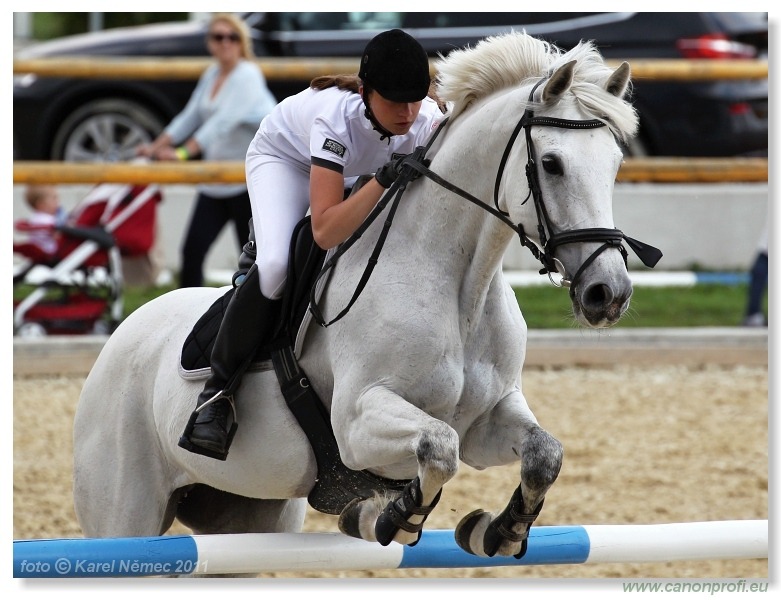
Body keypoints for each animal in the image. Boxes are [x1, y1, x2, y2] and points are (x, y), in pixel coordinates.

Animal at [73, 32, 656, 564]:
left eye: (615, 164)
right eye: (552, 164)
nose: (608, 293)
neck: (459, 289)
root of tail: (124, 333)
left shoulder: (488, 419)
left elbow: (542, 453)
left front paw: (499, 529)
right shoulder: (358, 421)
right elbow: (437, 448)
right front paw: (387, 515)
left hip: (246, 515)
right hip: (124, 511)